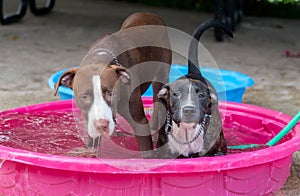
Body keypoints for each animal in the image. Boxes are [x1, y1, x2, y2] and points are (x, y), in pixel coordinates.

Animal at [54, 12, 171, 158]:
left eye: (111, 94)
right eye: (84, 97)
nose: (101, 125)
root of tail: (150, 14)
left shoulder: (139, 122)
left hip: (161, 74)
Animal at [155, 19, 232, 158]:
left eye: (201, 95)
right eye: (176, 94)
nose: (189, 110)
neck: (186, 131)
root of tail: (194, 72)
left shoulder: (218, 151)